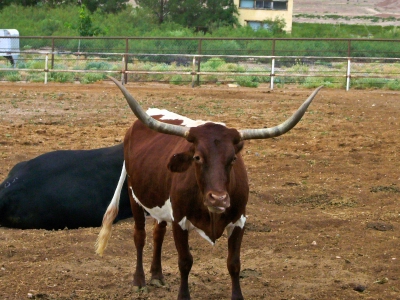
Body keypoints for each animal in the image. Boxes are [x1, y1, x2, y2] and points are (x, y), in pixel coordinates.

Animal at [96, 77, 322, 300]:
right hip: (134, 195)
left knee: (157, 233)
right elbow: (185, 262)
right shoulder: (180, 221)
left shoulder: (239, 221)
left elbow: (234, 263)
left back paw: (157, 276)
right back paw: (139, 280)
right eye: (197, 157)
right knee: (140, 236)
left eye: (233, 159)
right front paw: (183, 296)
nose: (219, 199)